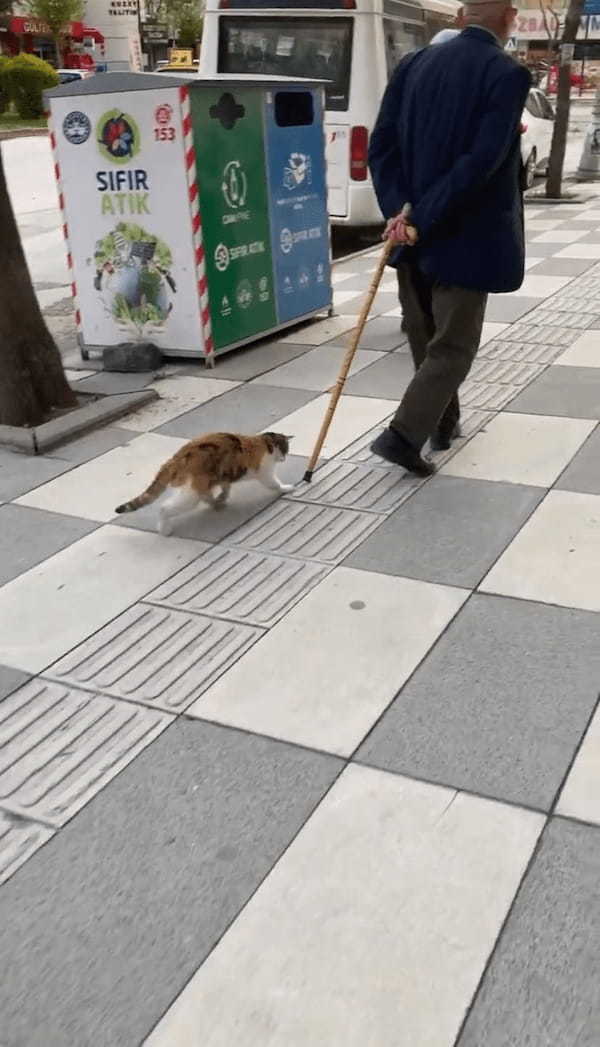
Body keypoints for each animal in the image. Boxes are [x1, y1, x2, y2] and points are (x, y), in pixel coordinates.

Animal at [114, 429, 293, 536]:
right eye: (285, 450)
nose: (284, 459)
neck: (264, 442)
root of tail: (175, 458)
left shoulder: (223, 475)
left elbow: (226, 488)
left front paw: (221, 497)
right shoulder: (264, 471)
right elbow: (274, 483)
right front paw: (286, 488)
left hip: (203, 482)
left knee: (205, 495)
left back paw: (215, 503)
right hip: (192, 492)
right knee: (165, 508)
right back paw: (164, 529)